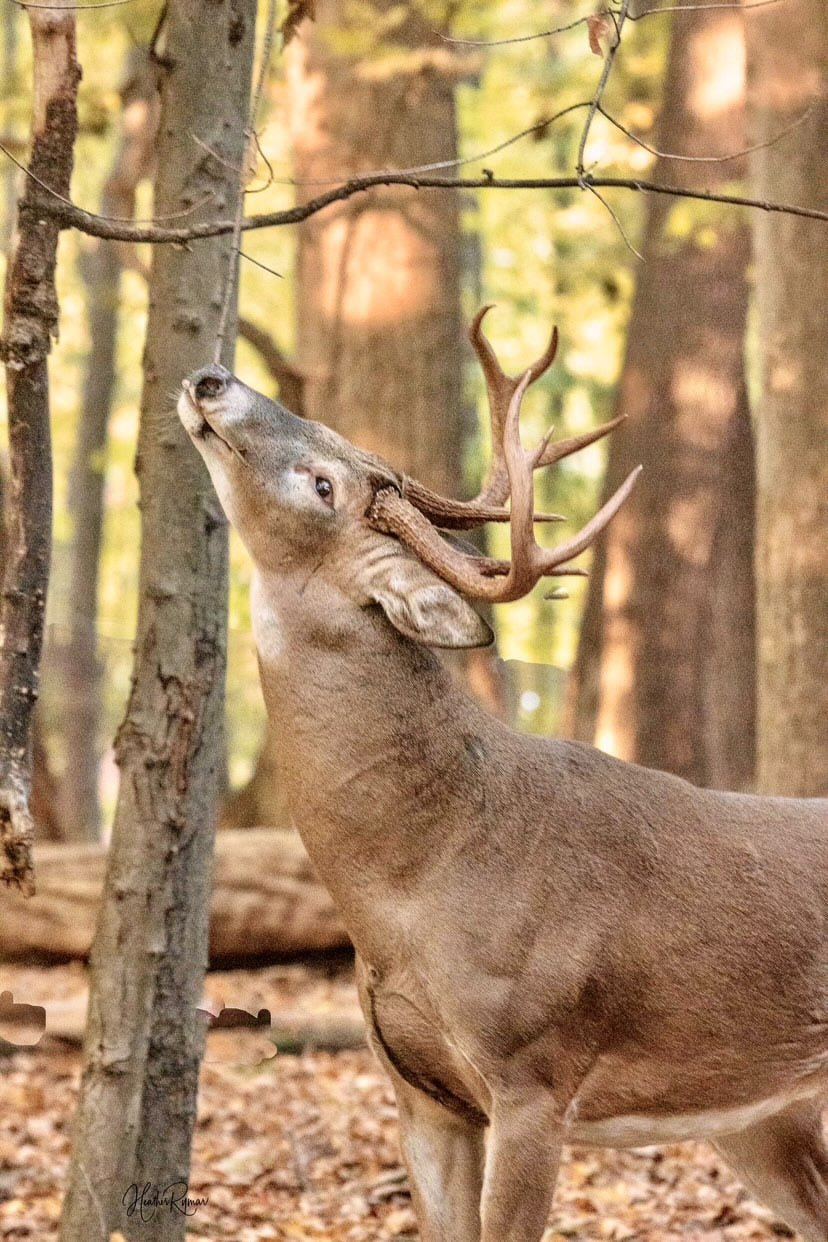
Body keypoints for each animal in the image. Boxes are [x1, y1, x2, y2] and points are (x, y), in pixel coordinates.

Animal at [178, 307, 828, 1242]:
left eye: (323, 482)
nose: (210, 379)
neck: (423, 873)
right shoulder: (421, 1094)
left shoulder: (532, 1075)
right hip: (758, 1116)